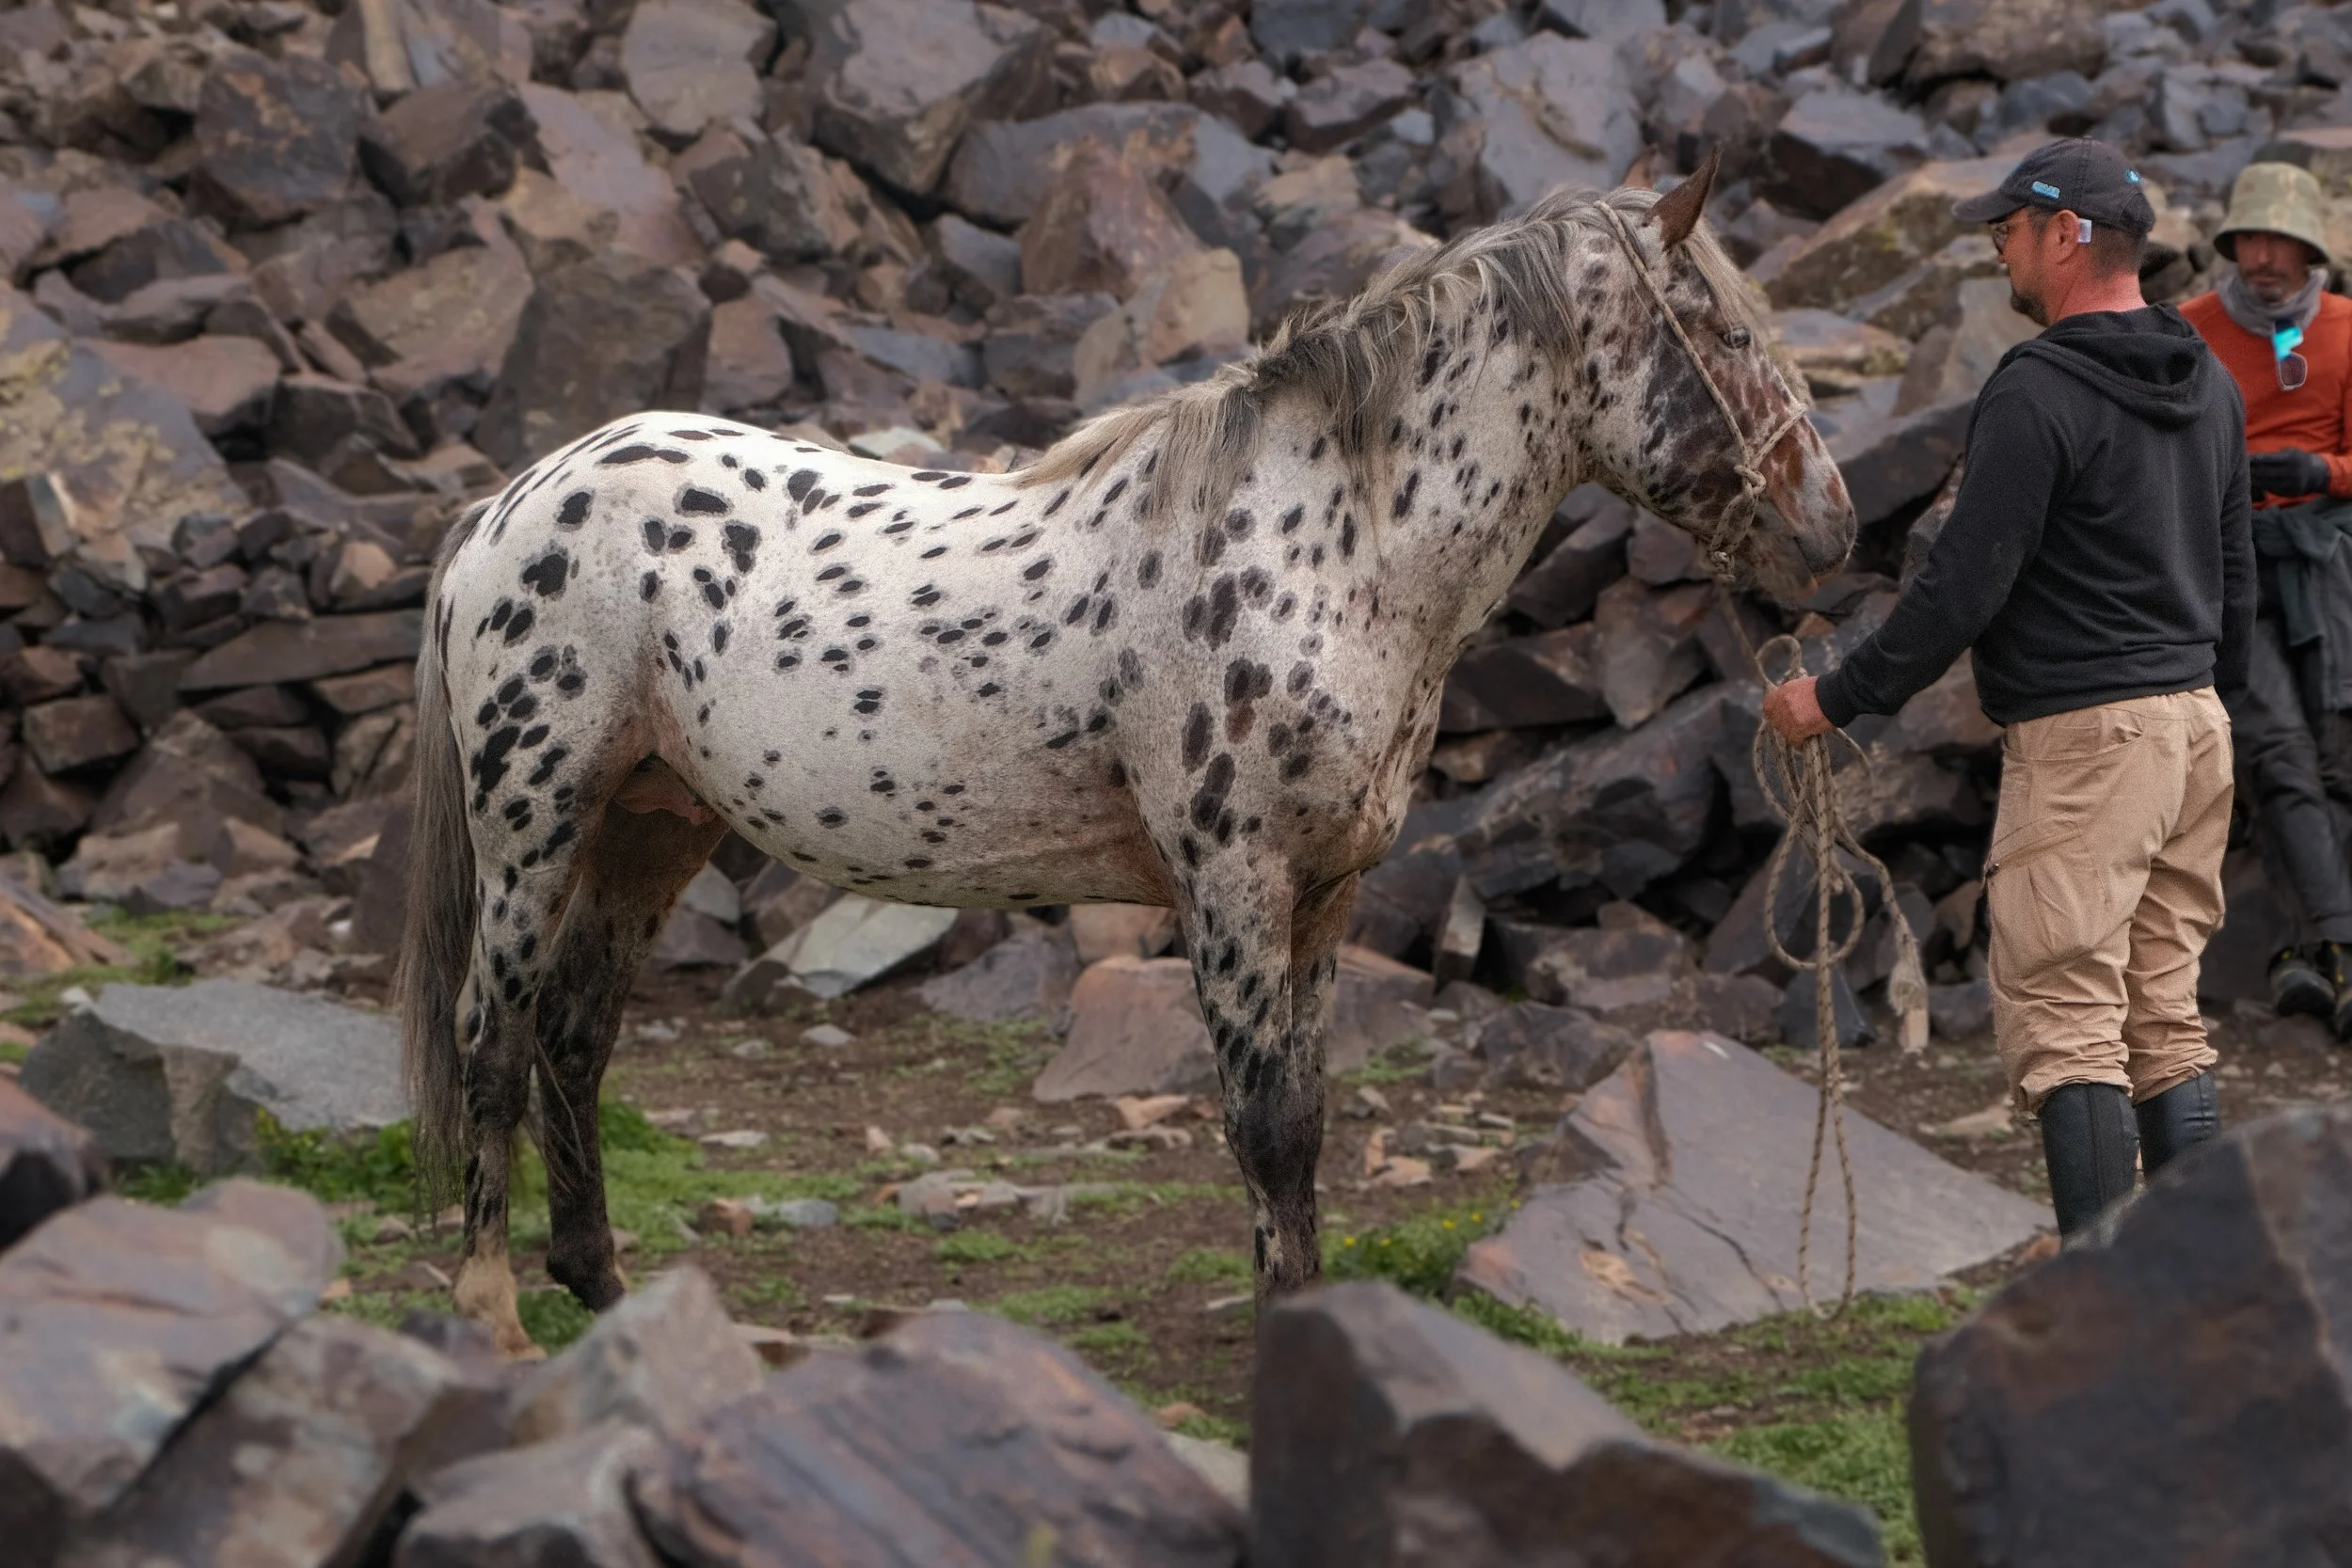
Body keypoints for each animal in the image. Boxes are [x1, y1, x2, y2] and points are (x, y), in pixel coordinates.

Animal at [396, 156, 1856, 1357]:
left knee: (576, 1031)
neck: (1325, 550)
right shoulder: (1234, 882)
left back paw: (604, 1288)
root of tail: (505, 506)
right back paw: (494, 1307)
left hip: (655, 821)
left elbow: (1307, 1120)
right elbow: (1267, 1128)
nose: (1829, 527)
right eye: (1729, 332)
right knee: (492, 1036)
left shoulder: (1322, 895)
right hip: (536, 821)